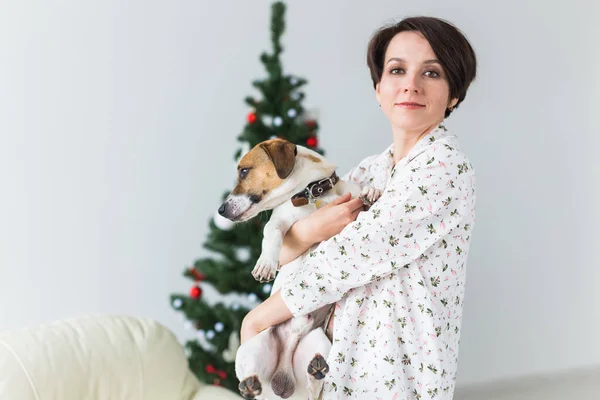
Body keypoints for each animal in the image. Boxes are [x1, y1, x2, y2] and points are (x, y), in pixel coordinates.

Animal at [219, 138, 380, 400]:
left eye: (244, 171)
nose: (221, 211)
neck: (313, 193)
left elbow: (363, 193)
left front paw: (371, 190)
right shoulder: (281, 222)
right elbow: (271, 233)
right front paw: (266, 263)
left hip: (319, 342)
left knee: (315, 384)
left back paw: (316, 369)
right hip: (252, 348)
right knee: (248, 378)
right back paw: (250, 384)